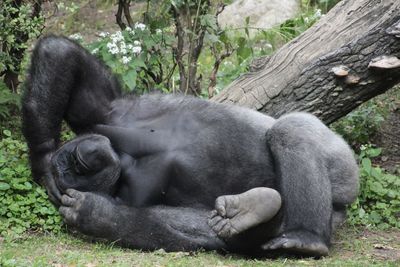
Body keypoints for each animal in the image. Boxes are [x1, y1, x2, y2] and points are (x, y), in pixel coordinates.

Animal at [21, 35, 360, 258]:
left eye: (75, 161)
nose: (86, 157)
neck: (122, 156)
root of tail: (346, 199)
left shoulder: (108, 115)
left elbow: (62, 54)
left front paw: (43, 160)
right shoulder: (132, 191)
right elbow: (180, 228)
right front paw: (98, 215)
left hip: (341, 163)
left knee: (291, 130)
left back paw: (305, 234)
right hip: (338, 201)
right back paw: (291, 230)